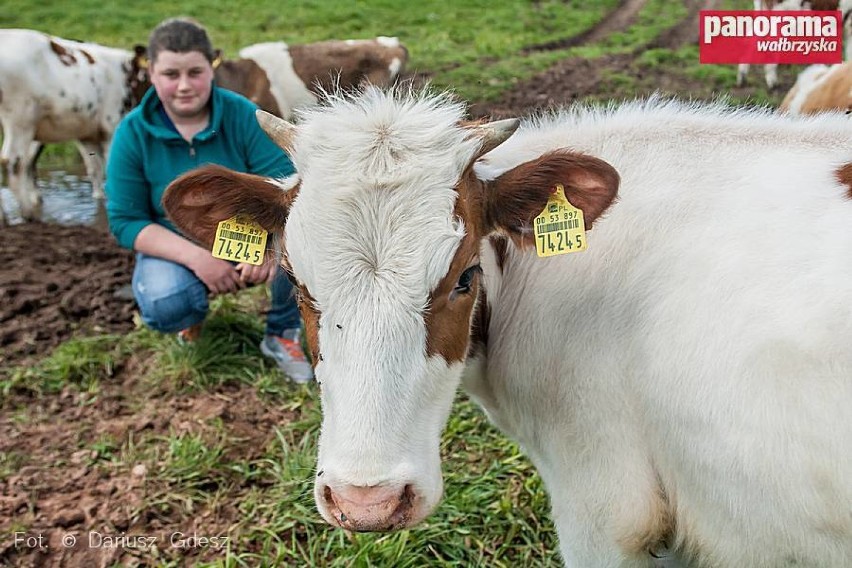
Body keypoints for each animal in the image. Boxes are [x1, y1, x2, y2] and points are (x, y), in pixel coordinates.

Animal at [0, 28, 147, 223]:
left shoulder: (87, 134)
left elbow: (95, 170)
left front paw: (99, 199)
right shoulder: (112, 127)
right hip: (21, 119)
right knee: (15, 161)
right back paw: (28, 214)